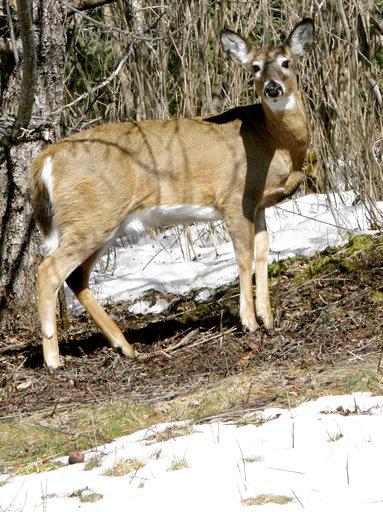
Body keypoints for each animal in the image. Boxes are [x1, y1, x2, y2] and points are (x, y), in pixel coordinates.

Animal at [31, 17, 316, 368]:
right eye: (255, 67)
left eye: (286, 62)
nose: (272, 88)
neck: (274, 143)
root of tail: (46, 159)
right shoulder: (233, 199)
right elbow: (244, 256)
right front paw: (249, 322)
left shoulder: (258, 204)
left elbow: (263, 252)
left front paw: (268, 319)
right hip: (91, 215)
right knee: (48, 270)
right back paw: (54, 360)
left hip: (102, 221)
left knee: (76, 277)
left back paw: (124, 346)